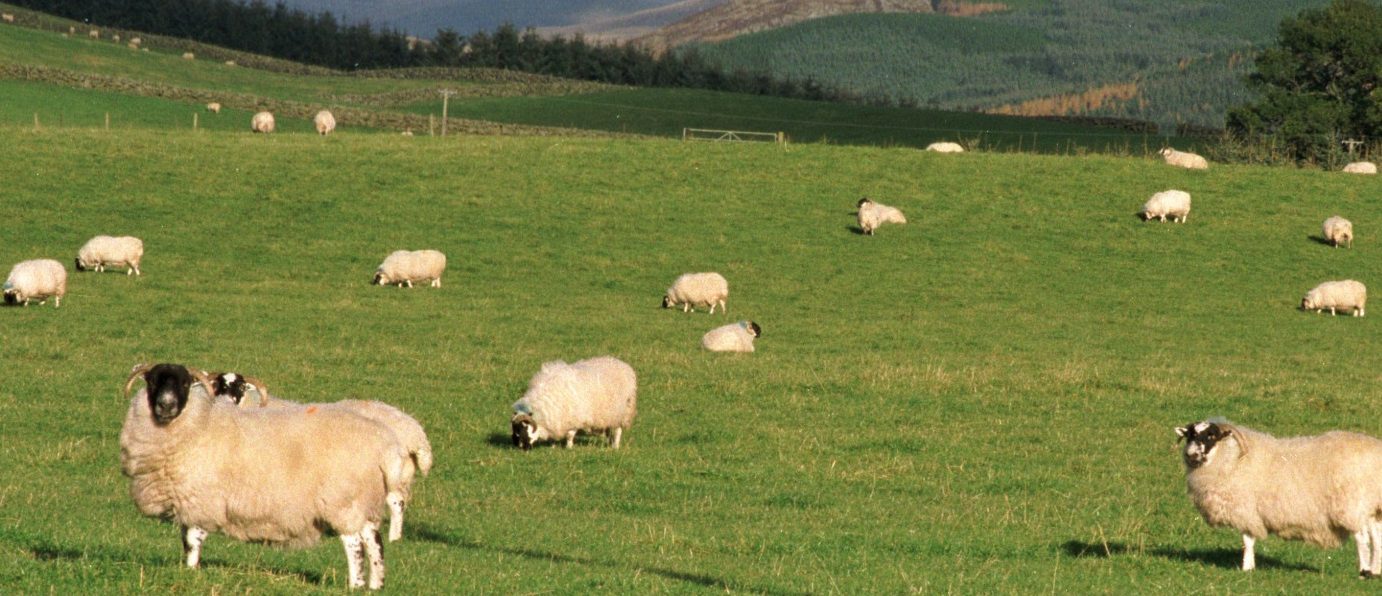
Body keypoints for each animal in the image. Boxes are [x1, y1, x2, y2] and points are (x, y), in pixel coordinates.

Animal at [120, 362, 403, 589]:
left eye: (185, 383)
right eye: (152, 381)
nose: (166, 405)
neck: (200, 423)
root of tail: (384, 444)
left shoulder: (201, 498)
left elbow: (192, 539)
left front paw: (191, 571)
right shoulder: (188, 501)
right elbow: (186, 538)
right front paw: (189, 569)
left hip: (343, 501)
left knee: (354, 544)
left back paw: (355, 585)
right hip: (361, 501)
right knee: (373, 541)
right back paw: (375, 585)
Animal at [204, 373, 428, 544]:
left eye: (240, 387)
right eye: (220, 385)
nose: (227, 400)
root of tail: (414, 431)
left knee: (396, 503)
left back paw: (393, 538)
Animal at [1177, 420, 1382, 578]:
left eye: (1211, 436)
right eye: (1190, 435)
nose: (1191, 454)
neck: (1232, 459)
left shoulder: (1246, 510)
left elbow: (1247, 540)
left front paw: (1246, 567)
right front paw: (1249, 567)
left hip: (1352, 505)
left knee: (1362, 538)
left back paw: (1364, 571)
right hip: (1372, 507)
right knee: (1376, 537)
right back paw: (1375, 571)